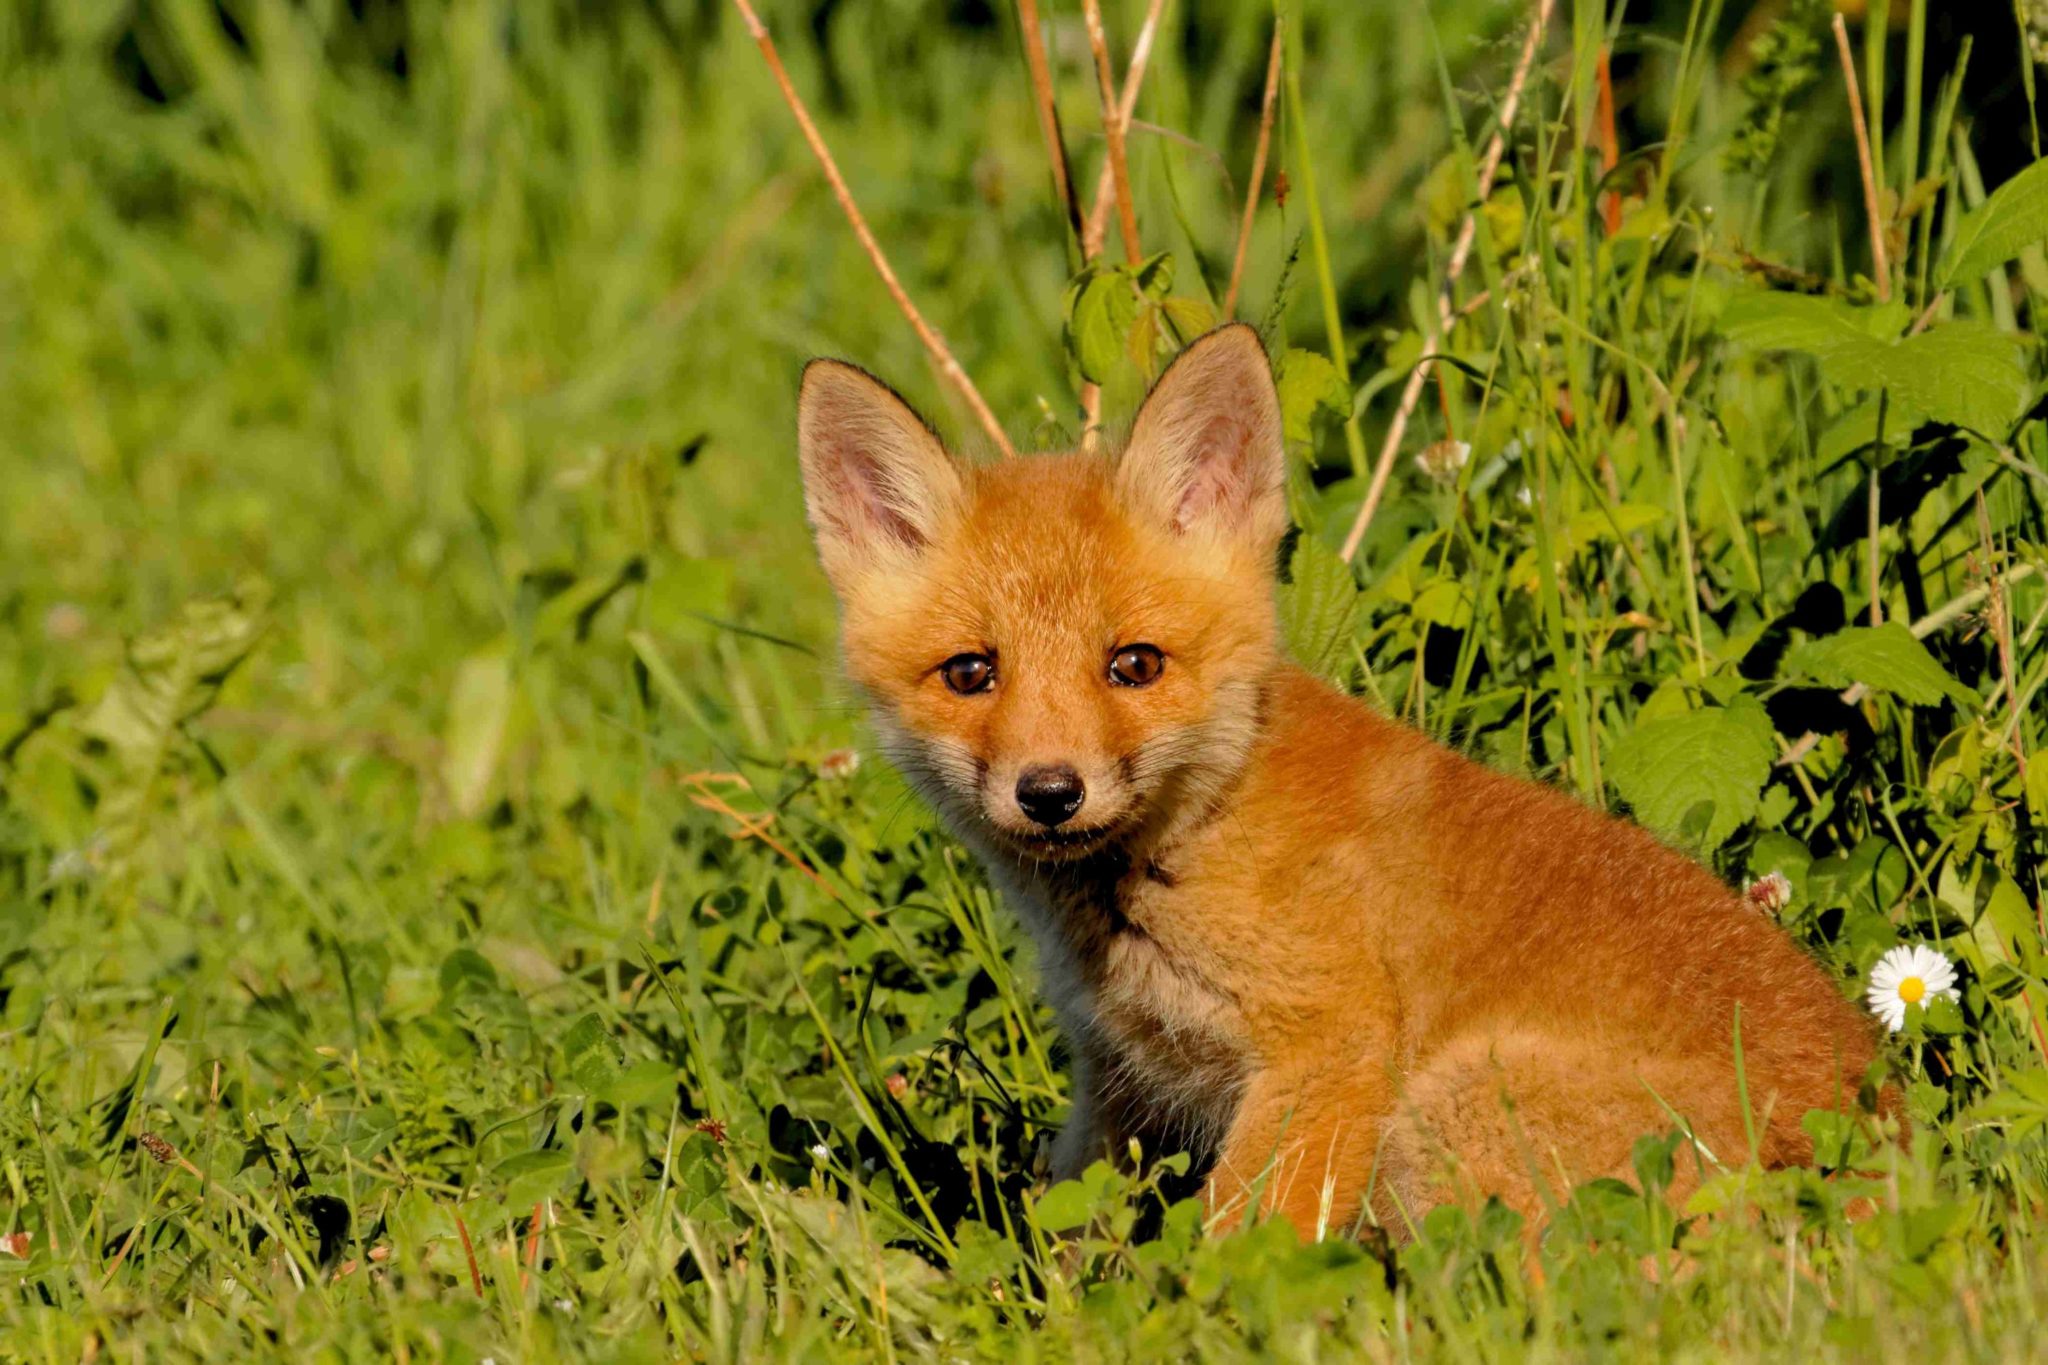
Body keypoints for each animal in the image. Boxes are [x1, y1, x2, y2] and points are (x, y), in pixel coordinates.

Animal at [795, 323, 1886, 1239]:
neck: (1188, 844)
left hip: (1448, 1109)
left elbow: (1240, 1245)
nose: (1050, 792)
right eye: (970, 674)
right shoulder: (1117, 1075)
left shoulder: (1329, 1048)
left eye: (1133, 665)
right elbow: (1066, 1225)